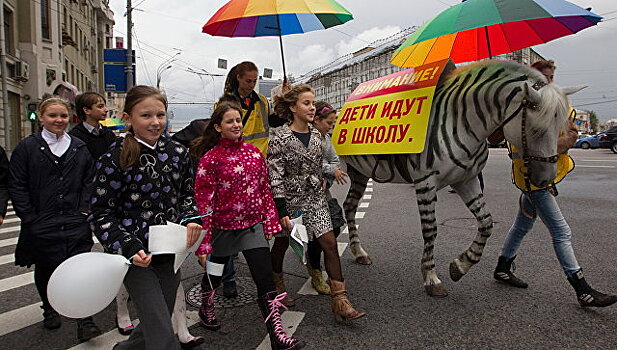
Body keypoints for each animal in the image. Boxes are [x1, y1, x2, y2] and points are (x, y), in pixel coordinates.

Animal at [342, 59, 568, 296]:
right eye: (537, 129)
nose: (546, 182)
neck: (458, 121)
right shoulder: (425, 182)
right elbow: (430, 230)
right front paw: (431, 278)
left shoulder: (466, 180)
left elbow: (486, 222)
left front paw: (460, 265)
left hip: (359, 174)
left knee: (349, 206)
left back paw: (359, 253)